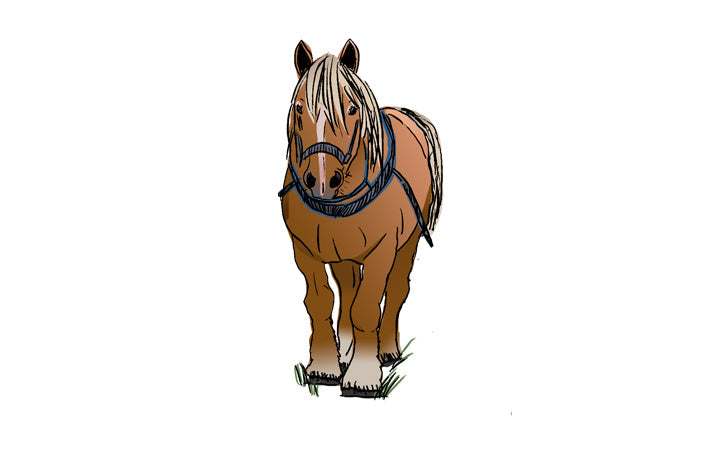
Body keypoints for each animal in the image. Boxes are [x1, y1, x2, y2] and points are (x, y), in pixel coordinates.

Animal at [279, 39, 443, 397]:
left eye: (352, 109)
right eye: (298, 107)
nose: (321, 181)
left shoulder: (383, 249)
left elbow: (367, 306)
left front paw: (364, 375)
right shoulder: (304, 249)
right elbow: (321, 301)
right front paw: (324, 366)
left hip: (407, 243)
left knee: (395, 289)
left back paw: (386, 351)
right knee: (349, 287)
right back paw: (347, 350)